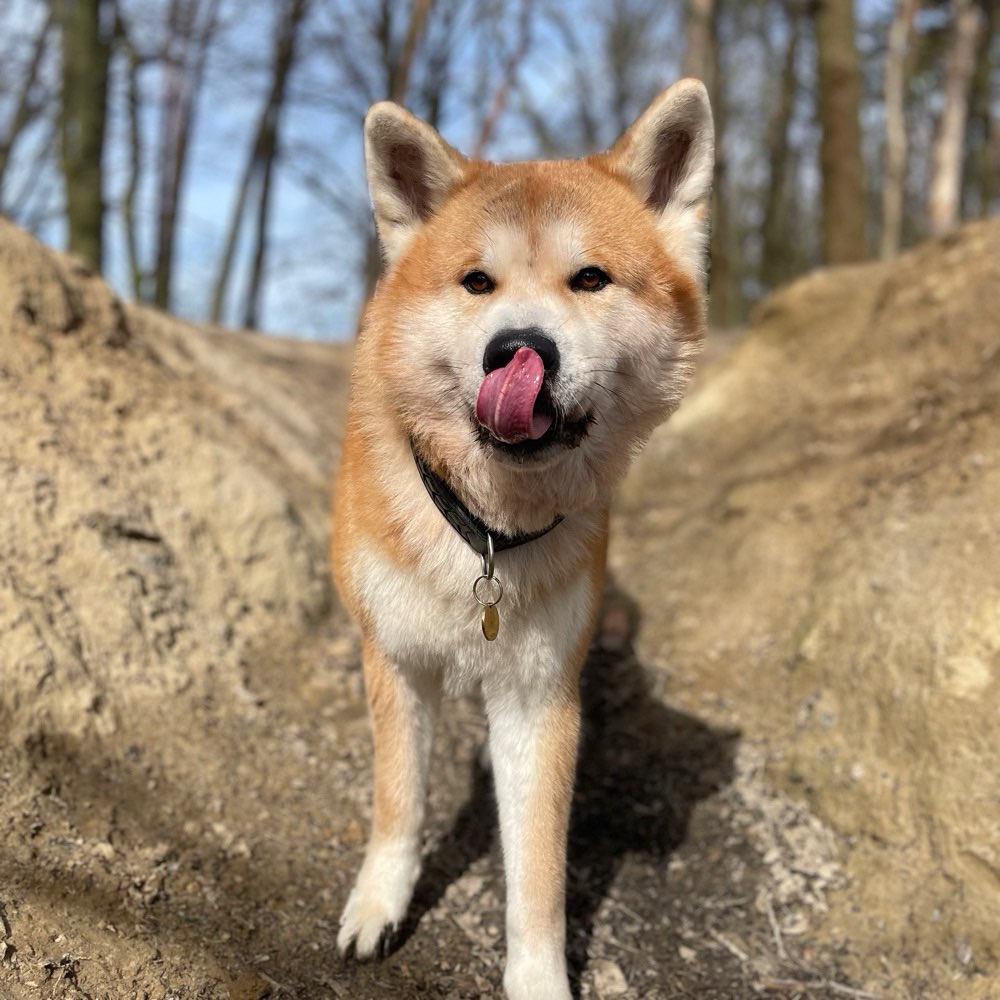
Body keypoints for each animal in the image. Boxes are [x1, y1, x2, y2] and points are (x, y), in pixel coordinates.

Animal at [332, 80, 716, 1000]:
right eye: (477, 282)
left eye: (591, 279)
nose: (519, 349)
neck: (485, 537)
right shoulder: (395, 660)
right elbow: (399, 801)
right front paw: (379, 902)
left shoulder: (540, 701)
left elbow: (538, 872)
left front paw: (538, 978)